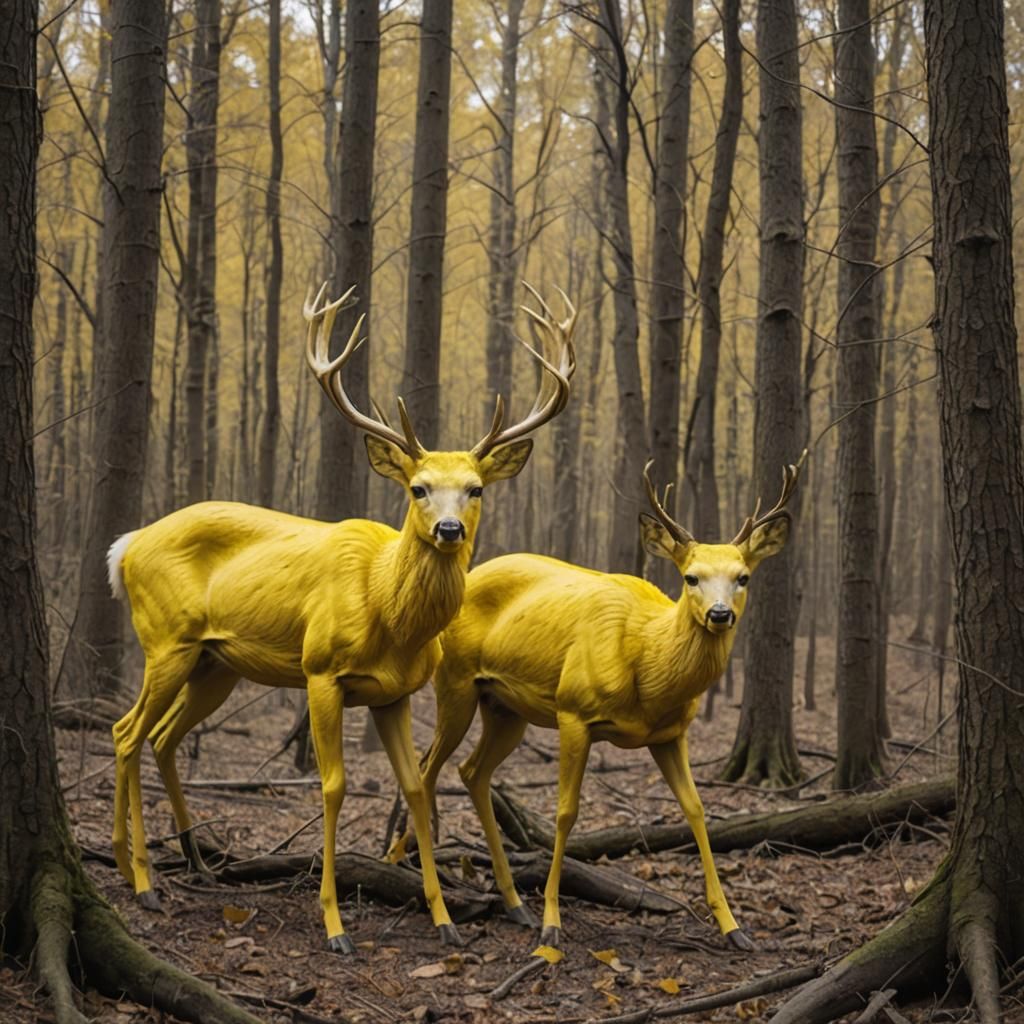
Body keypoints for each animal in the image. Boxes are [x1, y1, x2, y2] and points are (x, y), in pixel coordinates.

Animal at [106, 282, 577, 953]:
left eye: (477, 488)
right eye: (417, 487)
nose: (449, 529)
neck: (385, 607)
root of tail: (126, 546)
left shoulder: (394, 693)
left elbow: (414, 784)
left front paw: (444, 919)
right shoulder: (320, 671)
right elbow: (334, 785)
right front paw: (334, 924)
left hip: (214, 663)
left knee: (159, 735)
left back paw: (182, 862)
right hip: (165, 640)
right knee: (126, 731)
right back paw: (143, 879)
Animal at [409, 453, 805, 953]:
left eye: (743, 577)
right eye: (690, 577)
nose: (720, 614)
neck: (647, 662)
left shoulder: (670, 734)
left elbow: (695, 808)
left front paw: (734, 927)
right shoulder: (573, 711)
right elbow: (565, 812)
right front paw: (552, 922)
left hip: (506, 708)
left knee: (471, 771)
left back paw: (514, 902)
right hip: (456, 681)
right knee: (426, 768)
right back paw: (428, 891)